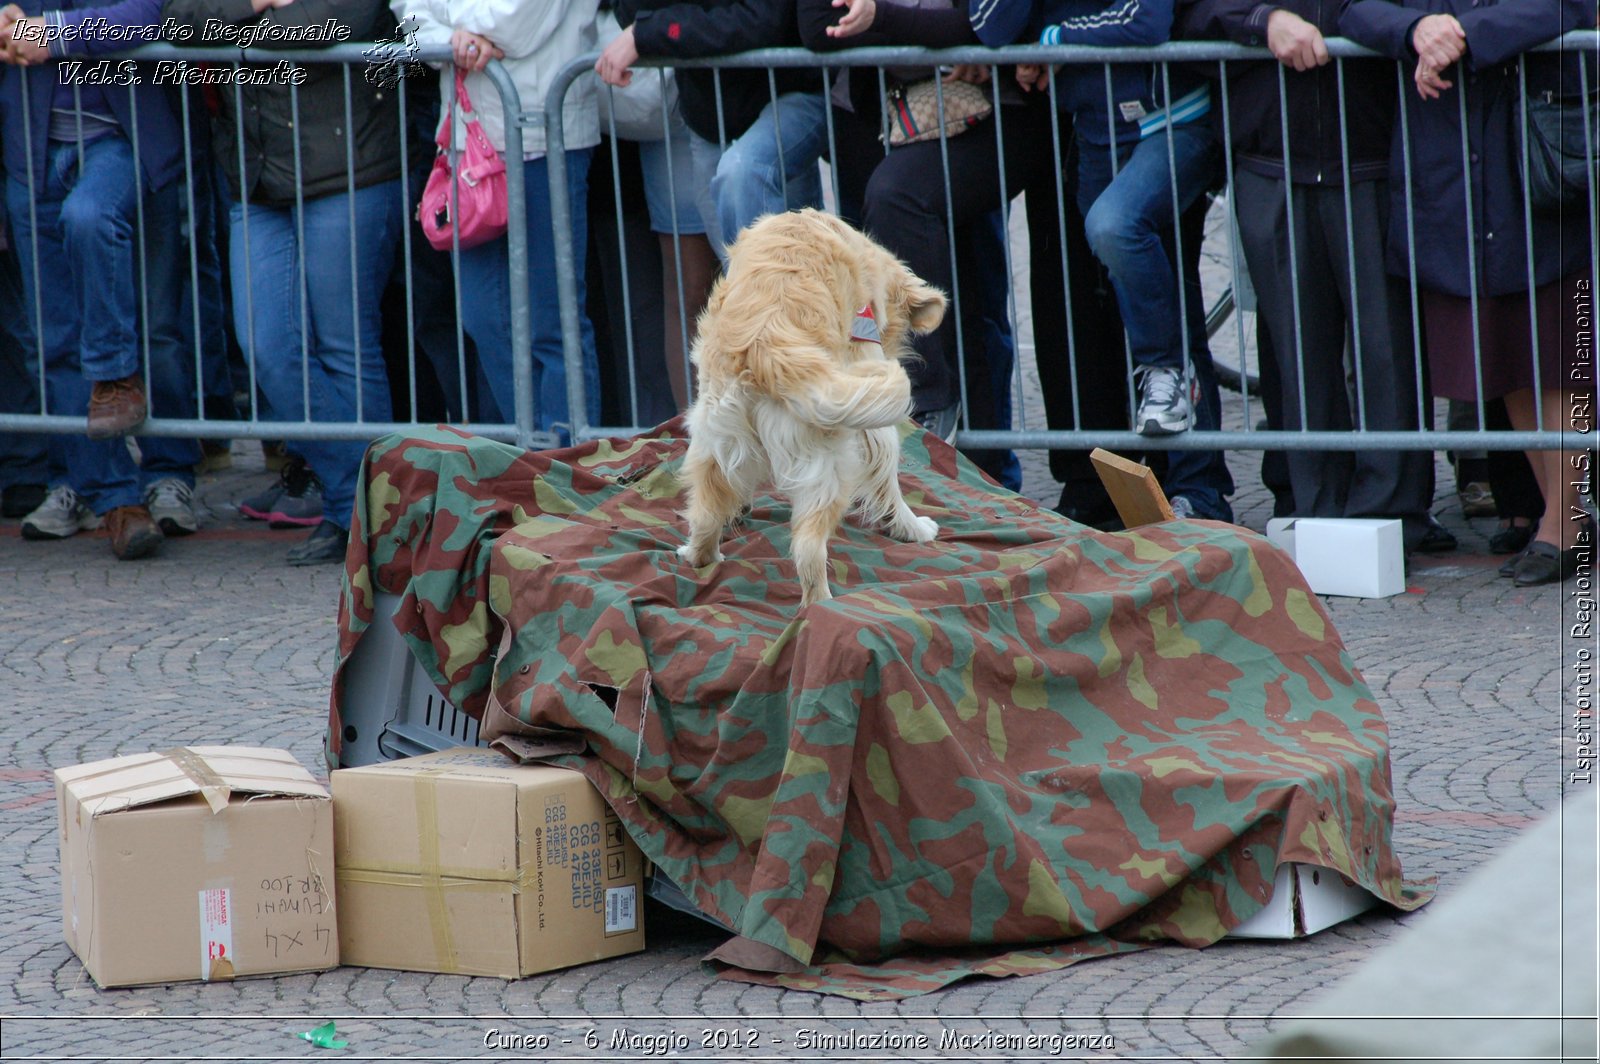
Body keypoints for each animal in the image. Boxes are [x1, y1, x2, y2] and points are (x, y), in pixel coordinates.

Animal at [678, 208, 947, 604]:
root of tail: (765, 349)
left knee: (705, 516)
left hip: (714, 443)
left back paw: (701, 556)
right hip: (826, 467)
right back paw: (822, 606)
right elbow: (887, 473)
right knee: (808, 549)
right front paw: (911, 527)